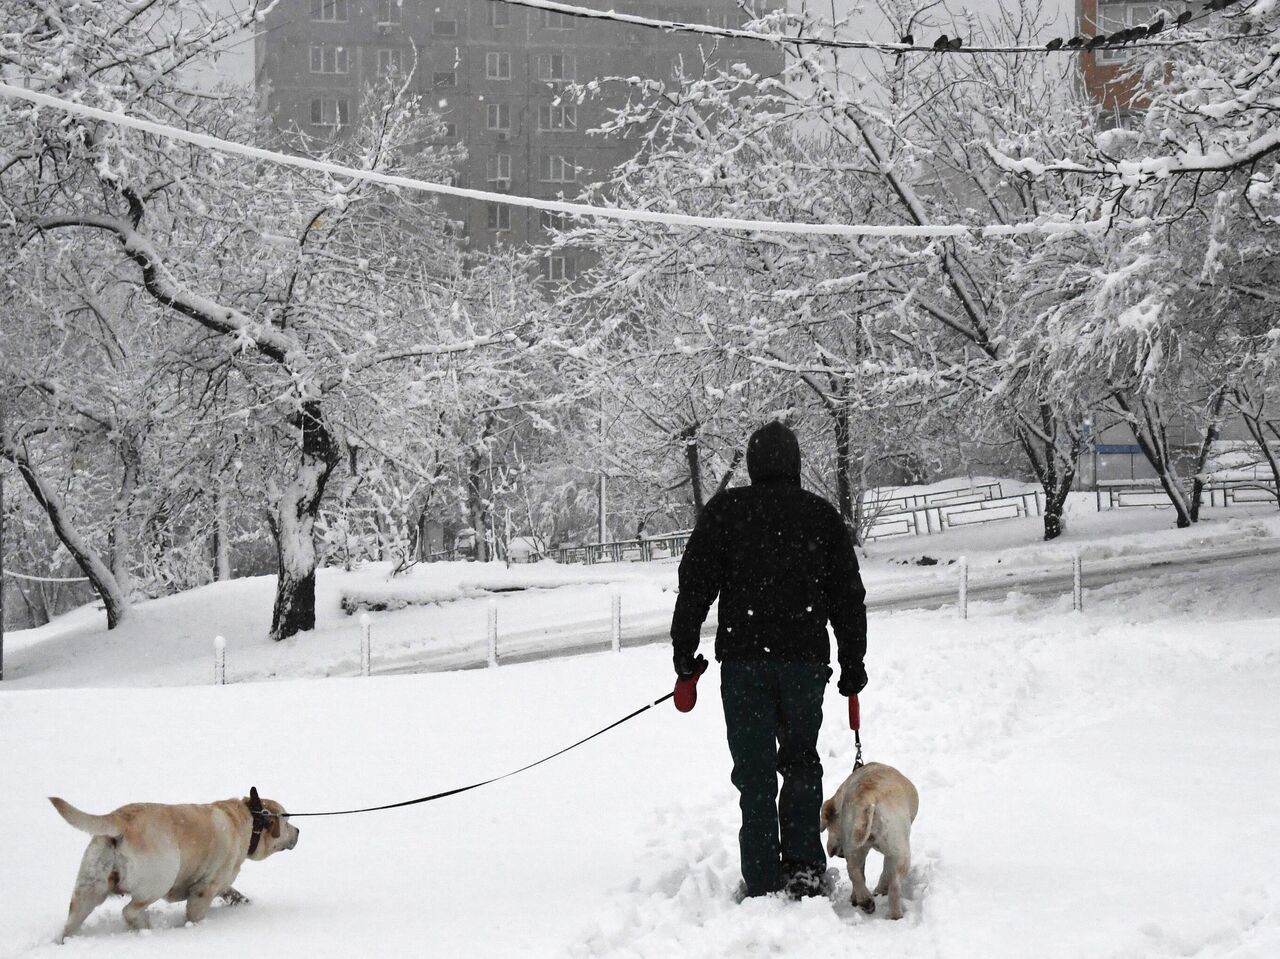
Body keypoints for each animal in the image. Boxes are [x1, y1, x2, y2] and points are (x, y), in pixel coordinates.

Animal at [49, 788, 296, 937]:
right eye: (287, 821)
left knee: (71, 922)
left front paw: (243, 902)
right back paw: (146, 928)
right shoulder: (204, 889)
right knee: (130, 911)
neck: (251, 820)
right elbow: (195, 915)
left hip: (87, 889)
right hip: (159, 880)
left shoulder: (221, 884)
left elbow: (233, 892)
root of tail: (122, 819)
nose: (299, 831)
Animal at [819, 757, 921, 916]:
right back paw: (894, 914)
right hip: (900, 849)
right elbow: (886, 870)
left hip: (854, 844)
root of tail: (867, 798)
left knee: (854, 871)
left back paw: (866, 902)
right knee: (894, 885)